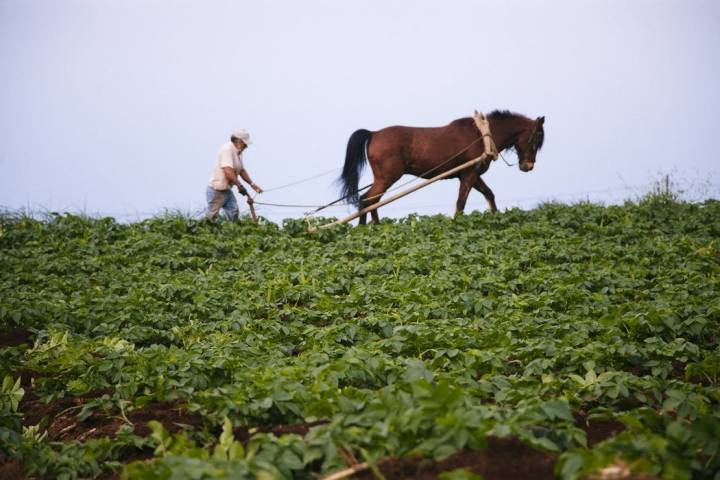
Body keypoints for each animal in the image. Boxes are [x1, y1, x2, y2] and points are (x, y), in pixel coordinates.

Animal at [338, 109, 544, 224]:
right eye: (537, 137)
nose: (528, 166)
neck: (481, 135)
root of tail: (373, 133)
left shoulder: (472, 175)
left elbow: (489, 195)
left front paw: (496, 218)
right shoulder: (469, 174)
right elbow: (460, 203)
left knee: (371, 201)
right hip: (387, 177)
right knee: (367, 199)